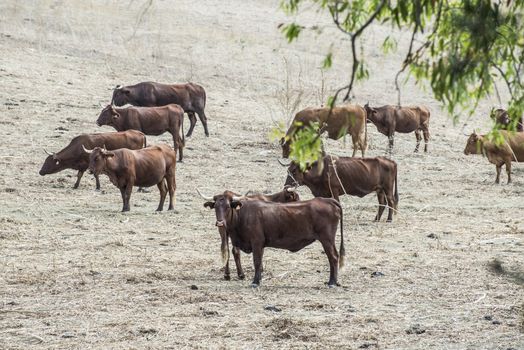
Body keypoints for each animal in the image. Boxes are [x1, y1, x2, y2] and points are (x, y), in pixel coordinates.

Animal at [201, 191, 344, 288]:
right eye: (215, 207)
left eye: (227, 206)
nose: (220, 223)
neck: (243, 214)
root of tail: (328, 200)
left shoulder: (257, 242)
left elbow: (257, 262)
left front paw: (255, 282)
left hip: (327, 239)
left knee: (333, 257)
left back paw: (332, 282)